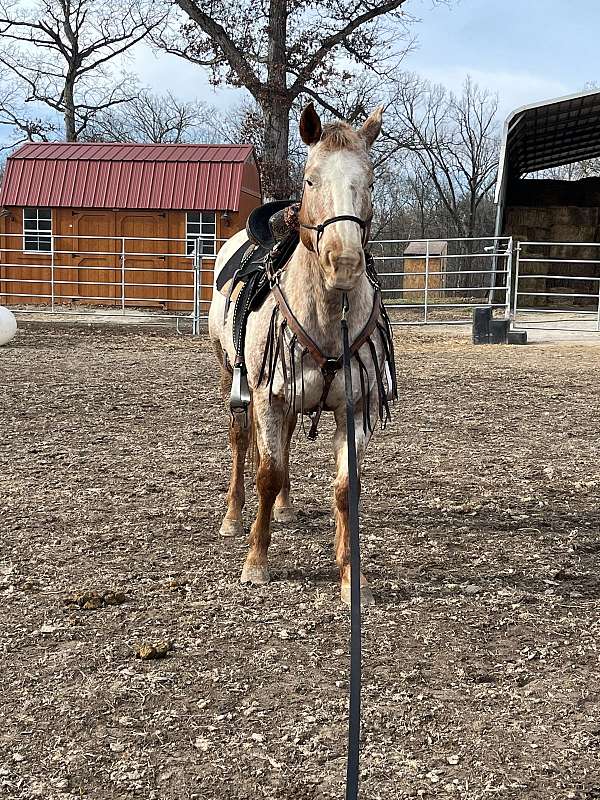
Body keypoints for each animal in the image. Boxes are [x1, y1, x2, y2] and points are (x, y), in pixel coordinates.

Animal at [208, 103, 394, 605]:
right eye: (311, 179)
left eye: (371, 180)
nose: (343, 262)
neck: (329, 320)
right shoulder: (266, 396)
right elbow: (266, 474)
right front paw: (256, 562)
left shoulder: (356, 408)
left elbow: (346, 487)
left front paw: (351, 577)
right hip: (233, 380)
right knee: (242, 442)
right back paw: (234, 516)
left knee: (285, 441)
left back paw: (286, 508)